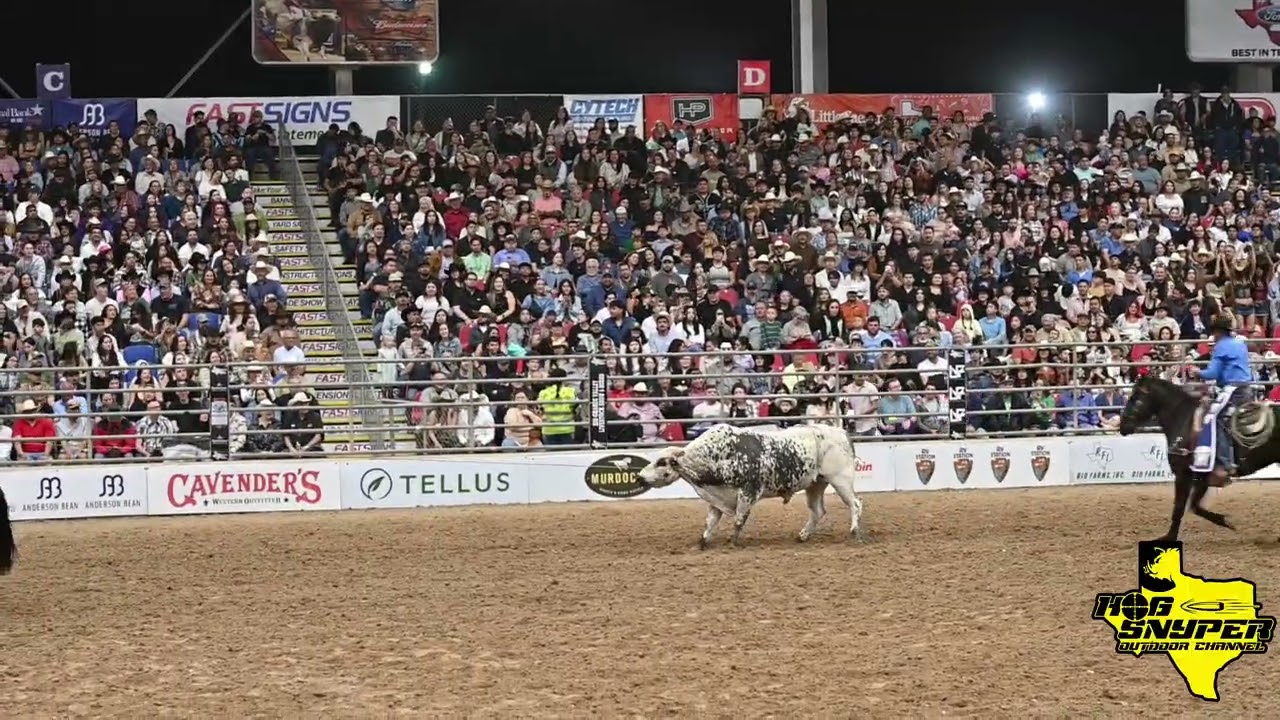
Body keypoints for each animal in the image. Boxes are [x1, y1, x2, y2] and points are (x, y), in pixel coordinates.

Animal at [637, 423, 866, 549]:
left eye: (661, 462)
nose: (639, 477)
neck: (718, 455)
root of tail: (842, 433)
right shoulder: (717, 498)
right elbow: (710, 522)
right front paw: (701, 543)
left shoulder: (749, 492)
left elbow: (739, 519)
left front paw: (733, 542)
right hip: (816, 483)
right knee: (817, 511)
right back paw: (802, 536)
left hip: (841, 479)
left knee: (855, 503)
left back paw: (854, 531)